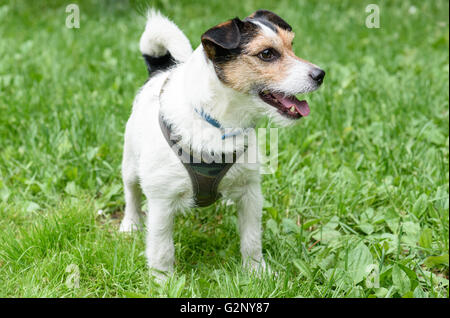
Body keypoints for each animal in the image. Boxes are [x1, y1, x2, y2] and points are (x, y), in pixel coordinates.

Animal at [119, 9, 324, 278]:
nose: (320, 75)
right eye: (267, 54)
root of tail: (158, 72)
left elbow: (251, 239)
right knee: (131, 192)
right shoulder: (161, 200)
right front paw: (163, 279)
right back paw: (130, 224)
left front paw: (256, 271)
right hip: (131, 164)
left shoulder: (251, 193)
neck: (221, 125)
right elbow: (162, 247)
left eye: (291, 45)